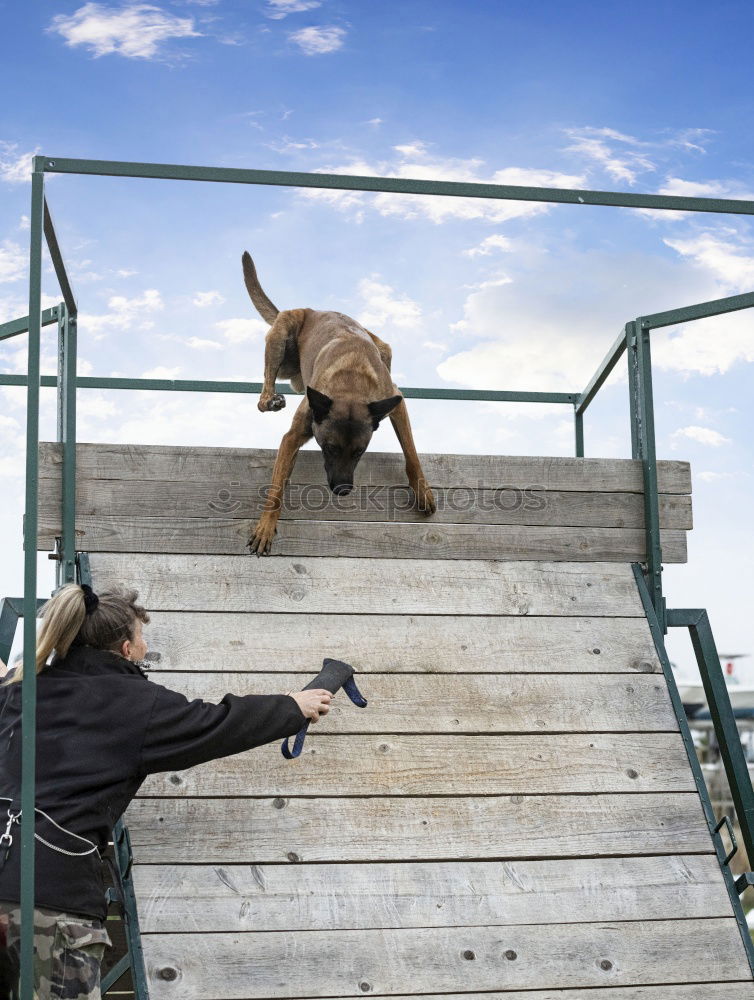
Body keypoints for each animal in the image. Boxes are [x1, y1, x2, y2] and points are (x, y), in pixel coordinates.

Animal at [242, 252, 434, 556]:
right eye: (329, 448)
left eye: (359, 452)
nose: (342, 490)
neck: (350, 385)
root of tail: (312, 309)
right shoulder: (293, 436)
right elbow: (276, 489)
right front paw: (265, 528)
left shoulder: (394, 400)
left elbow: (411, 452)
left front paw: (422, 491)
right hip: (281, 333)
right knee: (264, 389)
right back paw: (269, 399)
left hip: (385, 347)